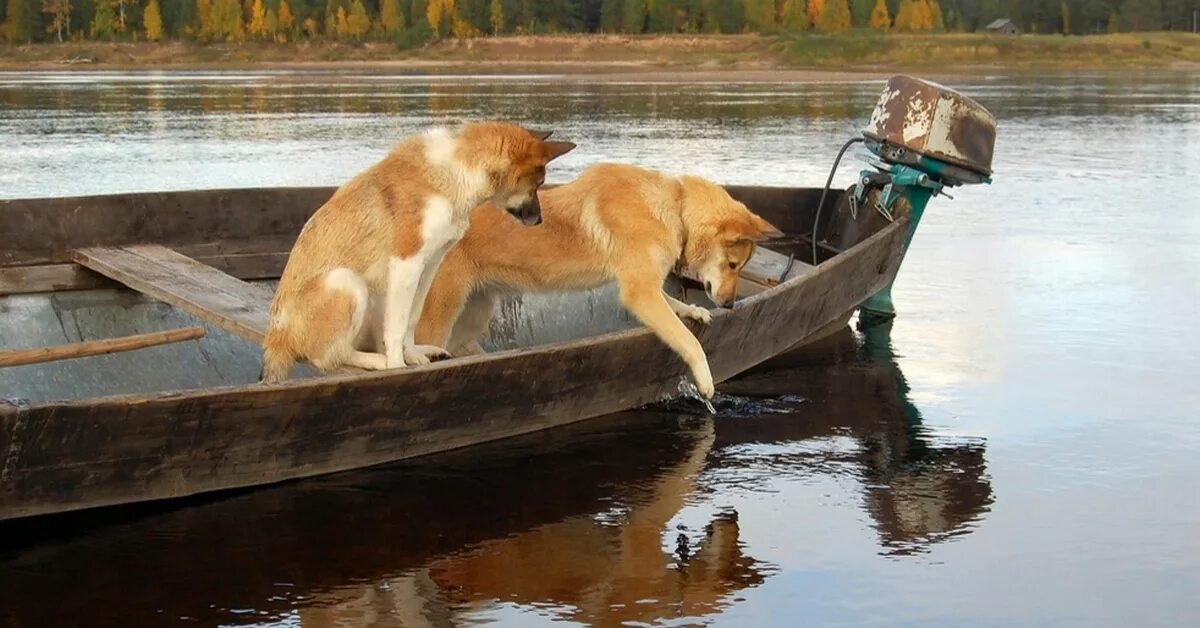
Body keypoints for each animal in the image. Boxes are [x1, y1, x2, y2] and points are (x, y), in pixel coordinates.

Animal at [261, 120, 576, 381]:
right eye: (538, 182)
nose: (539, 220)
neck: (455, 173)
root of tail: (275, 341)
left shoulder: (430, 263)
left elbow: (412, 319)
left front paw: (412, 356)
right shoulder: (406, 262)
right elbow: (398, 326)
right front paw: (397, 366)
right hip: (346, 282)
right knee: (327, 357)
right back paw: (378, 362)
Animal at [417, 162, 782, 398]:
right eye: (732, 264)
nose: (731, 304)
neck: (675, 207)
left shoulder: (642, 285)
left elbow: (672, 302)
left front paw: (692, 310)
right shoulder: (639, 293)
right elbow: (689, 341)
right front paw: (706, 381)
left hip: (472, 315)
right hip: (440, 316)